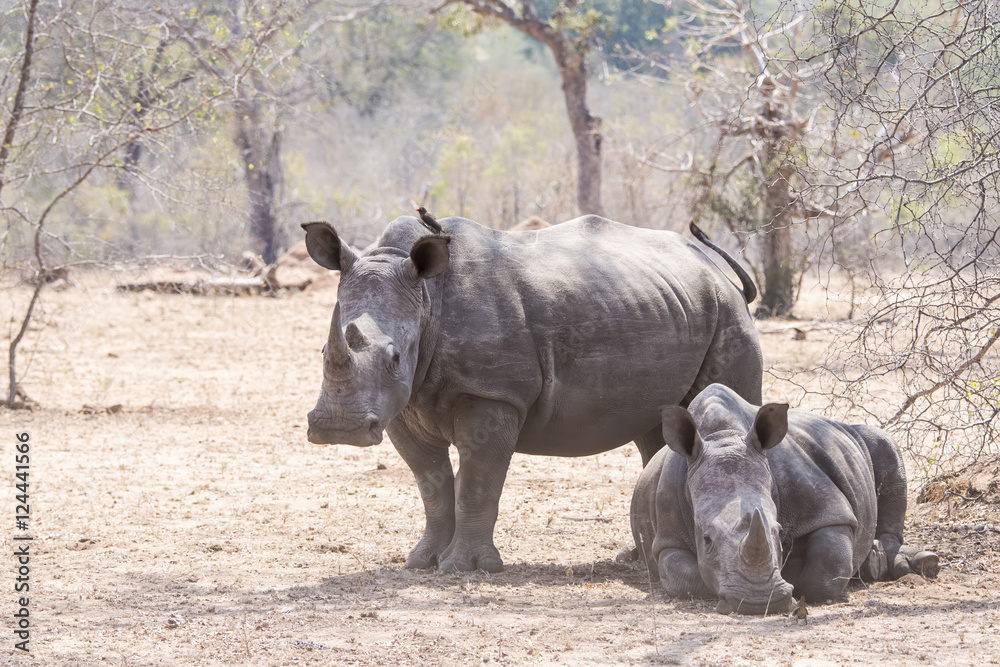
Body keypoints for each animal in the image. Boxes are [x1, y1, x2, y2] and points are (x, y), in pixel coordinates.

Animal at [302, 214, 763, 573]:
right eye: (323, 350)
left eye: (395, 356)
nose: (338, 429)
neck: (427, 299)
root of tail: (715, 269)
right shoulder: (403, 404)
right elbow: (431, 484)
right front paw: (421, 562)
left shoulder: (494, 393)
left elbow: (478, 482)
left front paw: (465, 568)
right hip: (670, 304)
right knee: (655, 430)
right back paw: (633, 557)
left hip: (727, 313)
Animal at [630, 383, 940, 614]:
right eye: (705, 539)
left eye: (778, 532)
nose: (758, 602)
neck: (723, 438)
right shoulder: (667, 537)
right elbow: (683, 576)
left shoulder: (827, 509)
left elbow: (828, 564)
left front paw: (795, 585)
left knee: (884, 445)